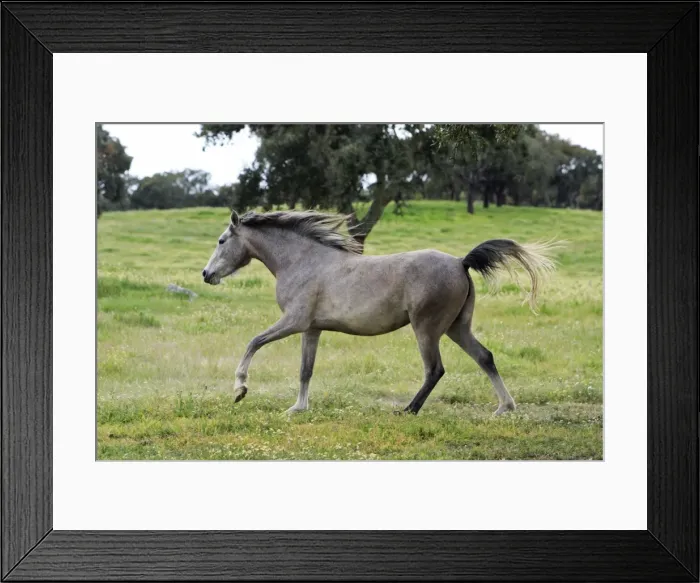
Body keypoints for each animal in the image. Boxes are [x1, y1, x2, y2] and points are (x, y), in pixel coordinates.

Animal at [202, 209, 559, 416]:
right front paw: (298, 408)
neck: (303, 261)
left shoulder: (294, 321)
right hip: (457, 327)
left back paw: (408, 410)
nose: (206, 275)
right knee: (485, 357)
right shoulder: (311, 328)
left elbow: (253, 342)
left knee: (435, 369)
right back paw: (504, 407)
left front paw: (240, 389)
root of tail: (460, 262)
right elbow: (305, 370)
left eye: (221, 241)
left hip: (426, 328)